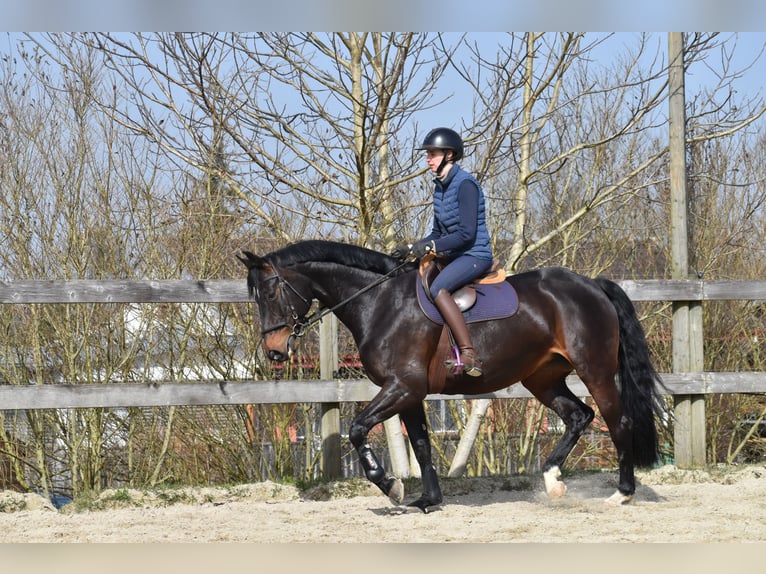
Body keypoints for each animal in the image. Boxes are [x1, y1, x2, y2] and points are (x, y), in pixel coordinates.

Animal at [238, 239, 666, 513]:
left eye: (271, 292)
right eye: (255, 296)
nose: (274, 351)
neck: (380, 302)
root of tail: (592, 285)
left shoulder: (402, 386)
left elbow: (359, 428)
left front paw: (391, 487)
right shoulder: (409, 393)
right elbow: (422, 445)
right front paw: (428, 500)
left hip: (595, 371)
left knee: (617, 421)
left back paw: (623, 493)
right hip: (542, 378)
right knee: (579, 416)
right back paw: (552, 480)